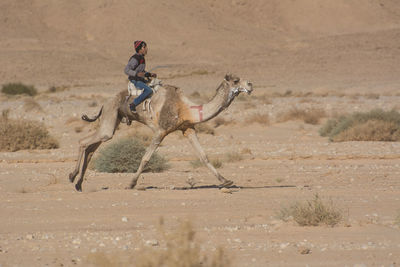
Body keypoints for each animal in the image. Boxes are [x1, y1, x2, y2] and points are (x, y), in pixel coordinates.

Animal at [67, 75, 252, 193]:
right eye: (236, 80)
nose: (250, 84)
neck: (186, 108)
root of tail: (104, 104)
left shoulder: (188, 129)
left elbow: (203, 156)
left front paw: (226, 181)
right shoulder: (161, 131)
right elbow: (145, 158)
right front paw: (131, 184)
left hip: (112, 121)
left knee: (91, 148)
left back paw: (79, 184)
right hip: (110, 114)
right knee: (83, 142)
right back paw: (71, 176)